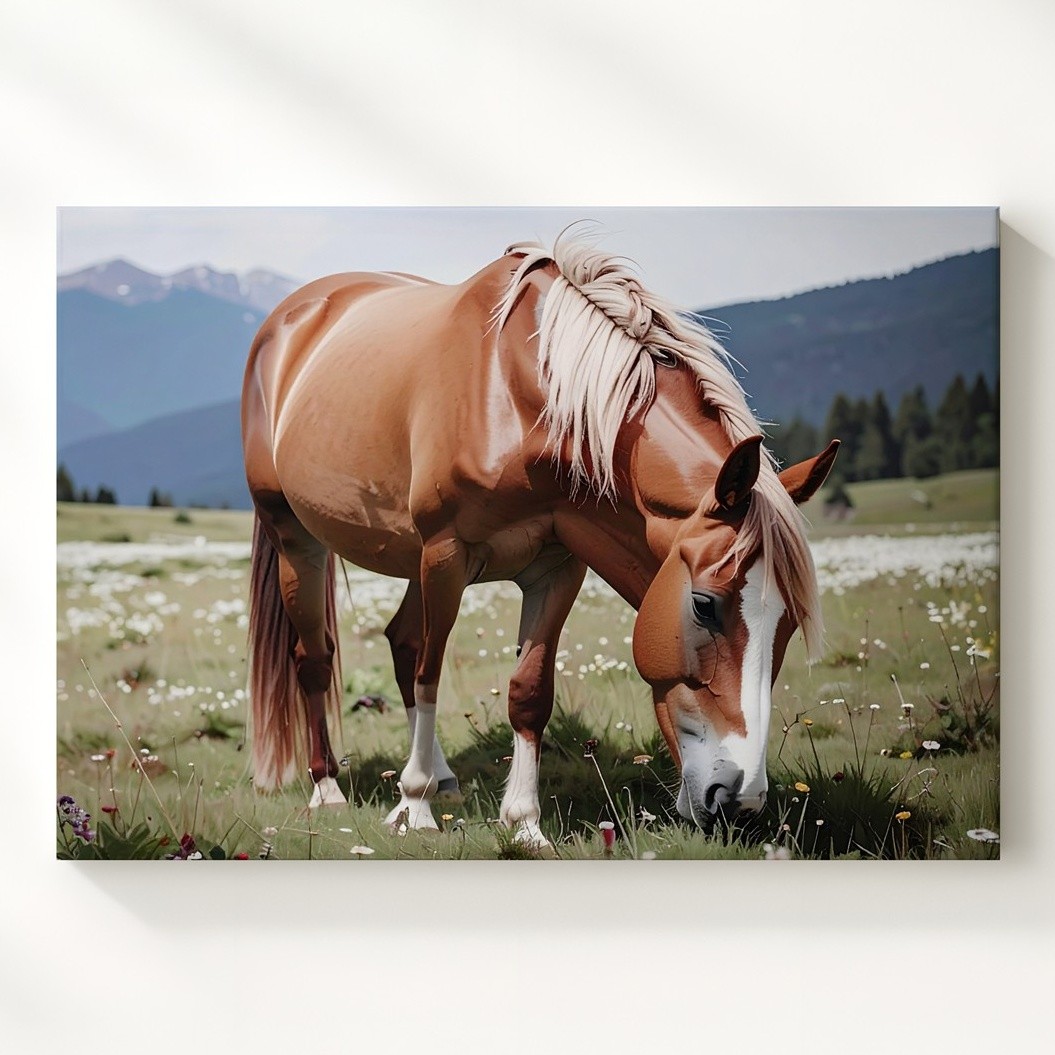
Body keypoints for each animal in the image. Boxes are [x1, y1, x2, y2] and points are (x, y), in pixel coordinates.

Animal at [241, 232, 839, 847]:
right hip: (298, 539)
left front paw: (523, 822)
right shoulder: (445, 556)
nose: (741, 800)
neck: (520, 393)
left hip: (409, 558)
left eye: (789, 623)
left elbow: (528, 692)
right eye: (703, 605)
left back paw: (443, 777)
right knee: (316, 659)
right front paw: (414, 804)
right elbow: (432, 675)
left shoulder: (557, 567)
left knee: (402, 643)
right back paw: (328, 787)